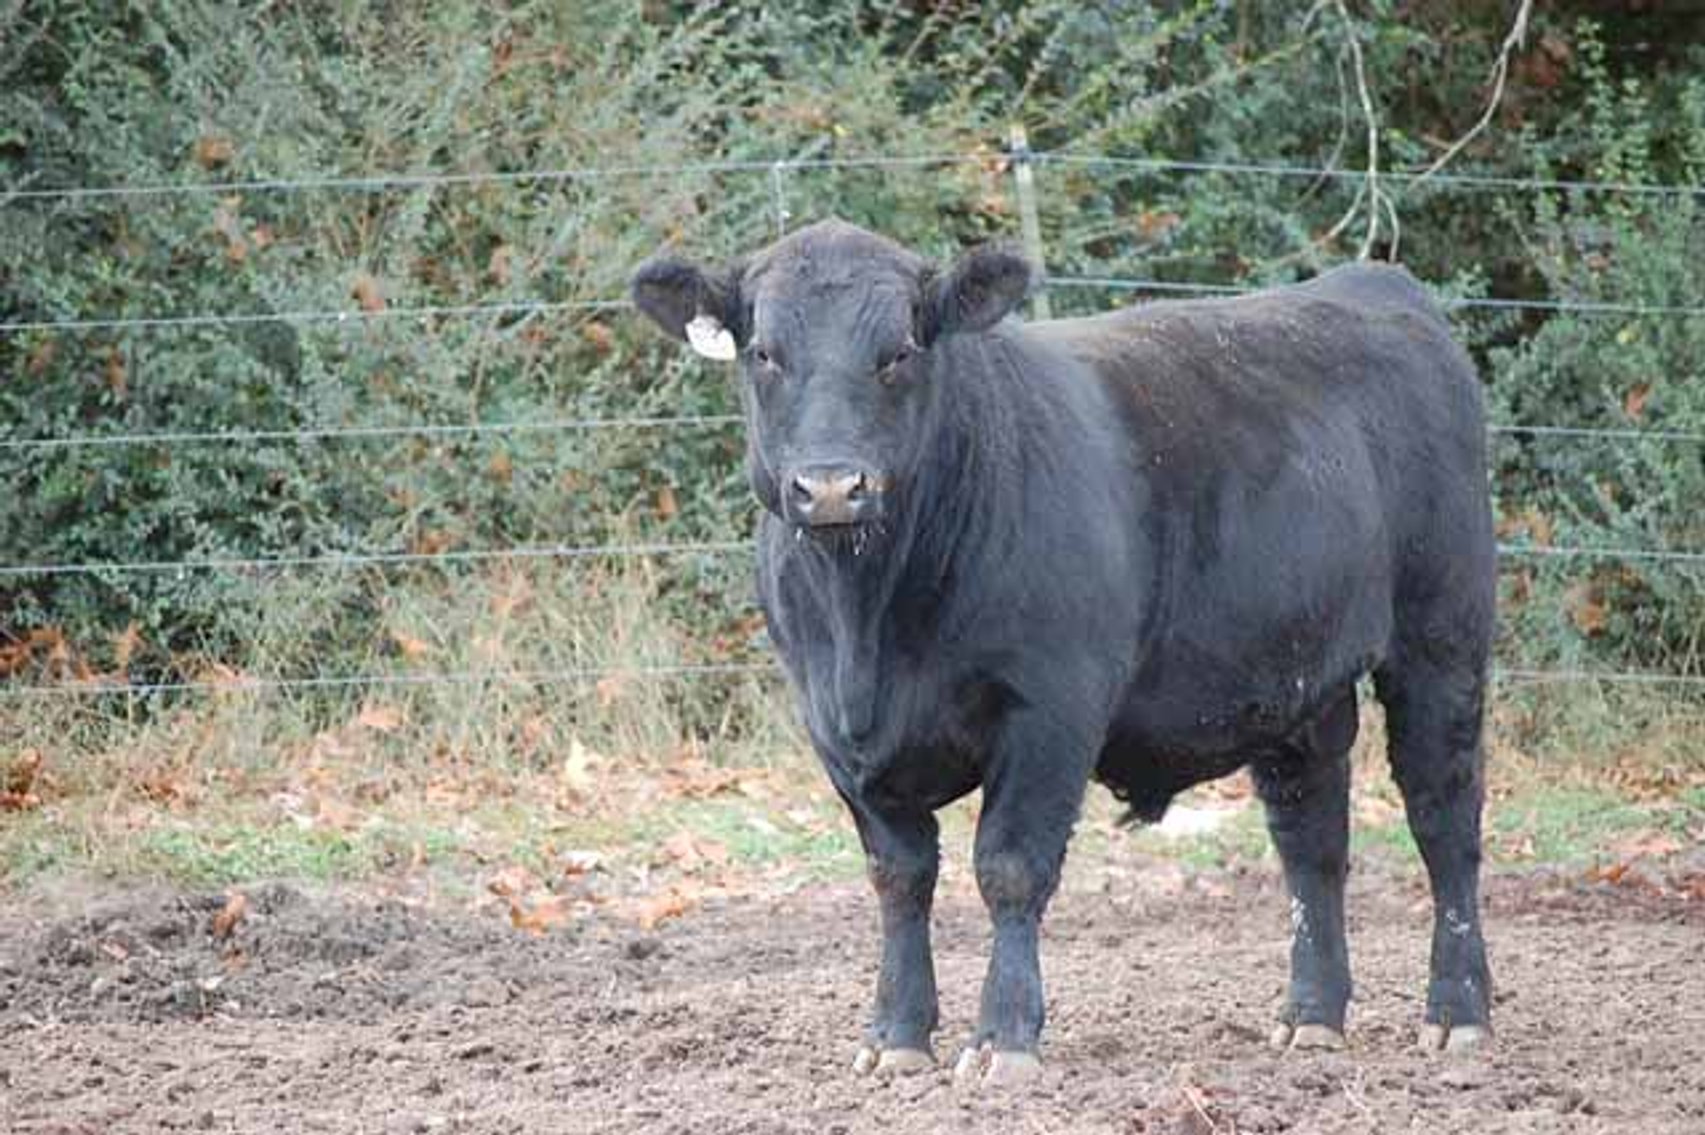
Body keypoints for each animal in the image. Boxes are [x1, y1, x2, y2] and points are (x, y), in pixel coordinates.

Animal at [630, 219, 1495, 1088]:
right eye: (763, 352)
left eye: (899, 350)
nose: (833, 486)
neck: (866, 627)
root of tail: (1370, 284)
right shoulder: (834, 734)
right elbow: (899, 877)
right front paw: (895, 1034)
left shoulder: (1051, 709)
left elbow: (1009, 866)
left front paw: (1003, 1038)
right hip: (1294, 676)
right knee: (1310, 837)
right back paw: (1312, 1016)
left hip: (1442, 636)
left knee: (1442, 817)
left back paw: (1457, 1013)